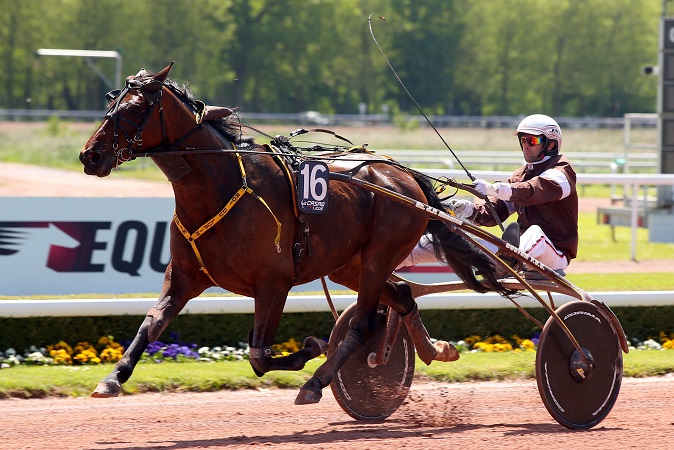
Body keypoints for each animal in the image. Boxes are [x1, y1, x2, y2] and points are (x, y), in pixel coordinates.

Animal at [79, 63, 506, 404]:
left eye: (133, 109)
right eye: (109, 104)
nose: (90, 155)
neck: (221, 187)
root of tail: (404, 176)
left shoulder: (274, 282)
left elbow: (259, 354)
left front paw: (311, 347)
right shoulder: (183, 276)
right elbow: (150, 324)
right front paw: (112, 379)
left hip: (379, 254)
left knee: (363, 323)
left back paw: (318, 381)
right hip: (346, 264)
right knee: (400, 293)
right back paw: (436, 350)